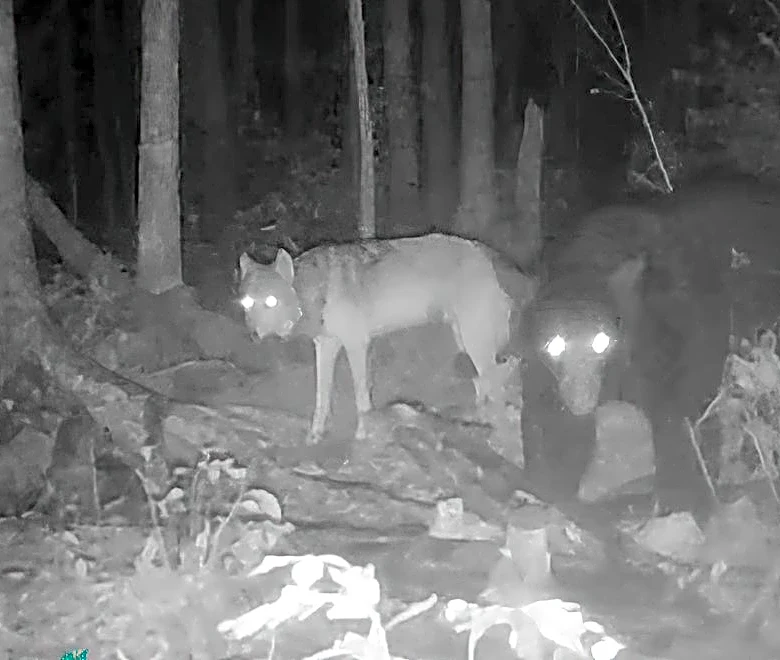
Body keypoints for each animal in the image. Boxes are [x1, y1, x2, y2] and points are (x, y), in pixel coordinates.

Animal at [238, 233, 537, 444]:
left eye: (272, 301)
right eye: (247, 303)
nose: (253, 336)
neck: (319, 291)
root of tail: (483, 250)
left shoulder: (357, 344)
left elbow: (362, 399)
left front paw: (363, 436)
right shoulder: (325, 346)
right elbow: (321, 399)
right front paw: (314, 436)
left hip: (475, 342)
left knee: (497, 386)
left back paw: (498, 437)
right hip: (466, 340)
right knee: (487, 382)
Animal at [522, 178, 780, 511]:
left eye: (601, 341)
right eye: (555, 344)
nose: (582, 397)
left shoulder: (669, 343)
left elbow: (676, 418)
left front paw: (680, 496)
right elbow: (549, 418)